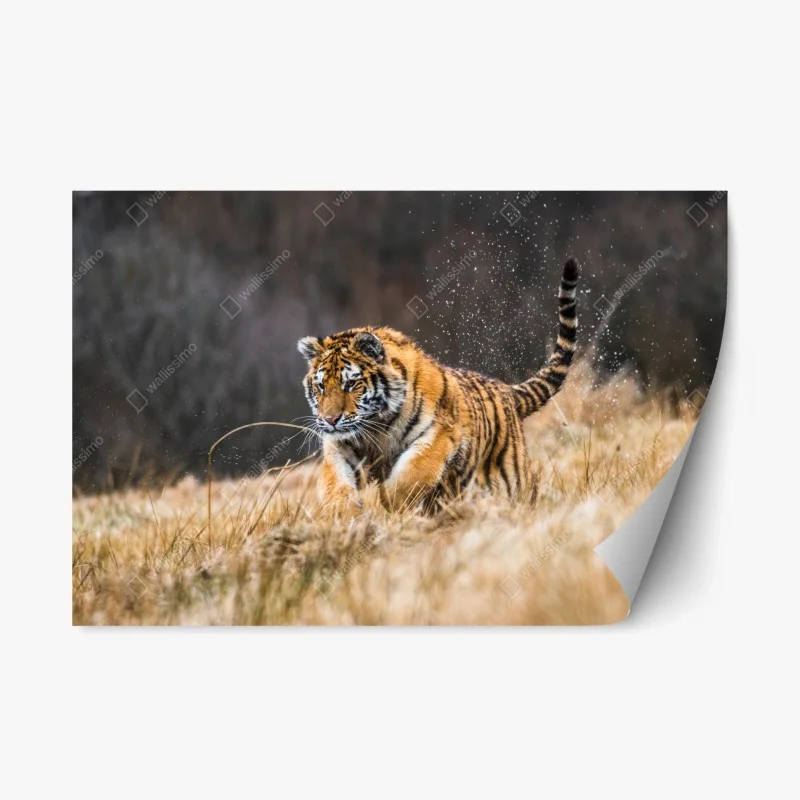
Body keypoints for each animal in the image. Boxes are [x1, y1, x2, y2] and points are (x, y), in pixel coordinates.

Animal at [297, 257, 579, 515]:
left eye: (351, 384)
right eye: (321, 387)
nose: (331, 420)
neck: (377, 427)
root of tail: (507, 390)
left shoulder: (439, 435)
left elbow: (412, 474)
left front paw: (389, 505)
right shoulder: (340, 446)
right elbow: (335, 483)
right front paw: (344, 516)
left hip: (513, 480)